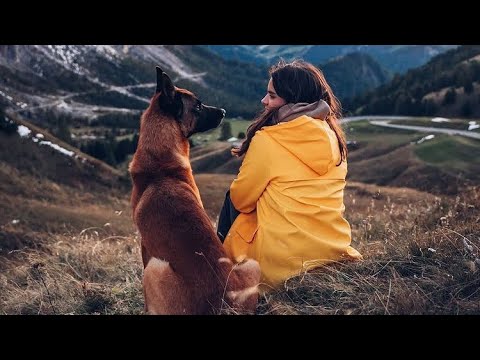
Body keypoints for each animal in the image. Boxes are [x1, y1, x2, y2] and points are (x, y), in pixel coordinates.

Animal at [129, 66, 260, 314]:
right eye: (197, 106)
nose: (224, 111)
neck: (161, 168)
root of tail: (222, 305)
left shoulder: (145, 247)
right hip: (251, 264)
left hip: (154, 268)